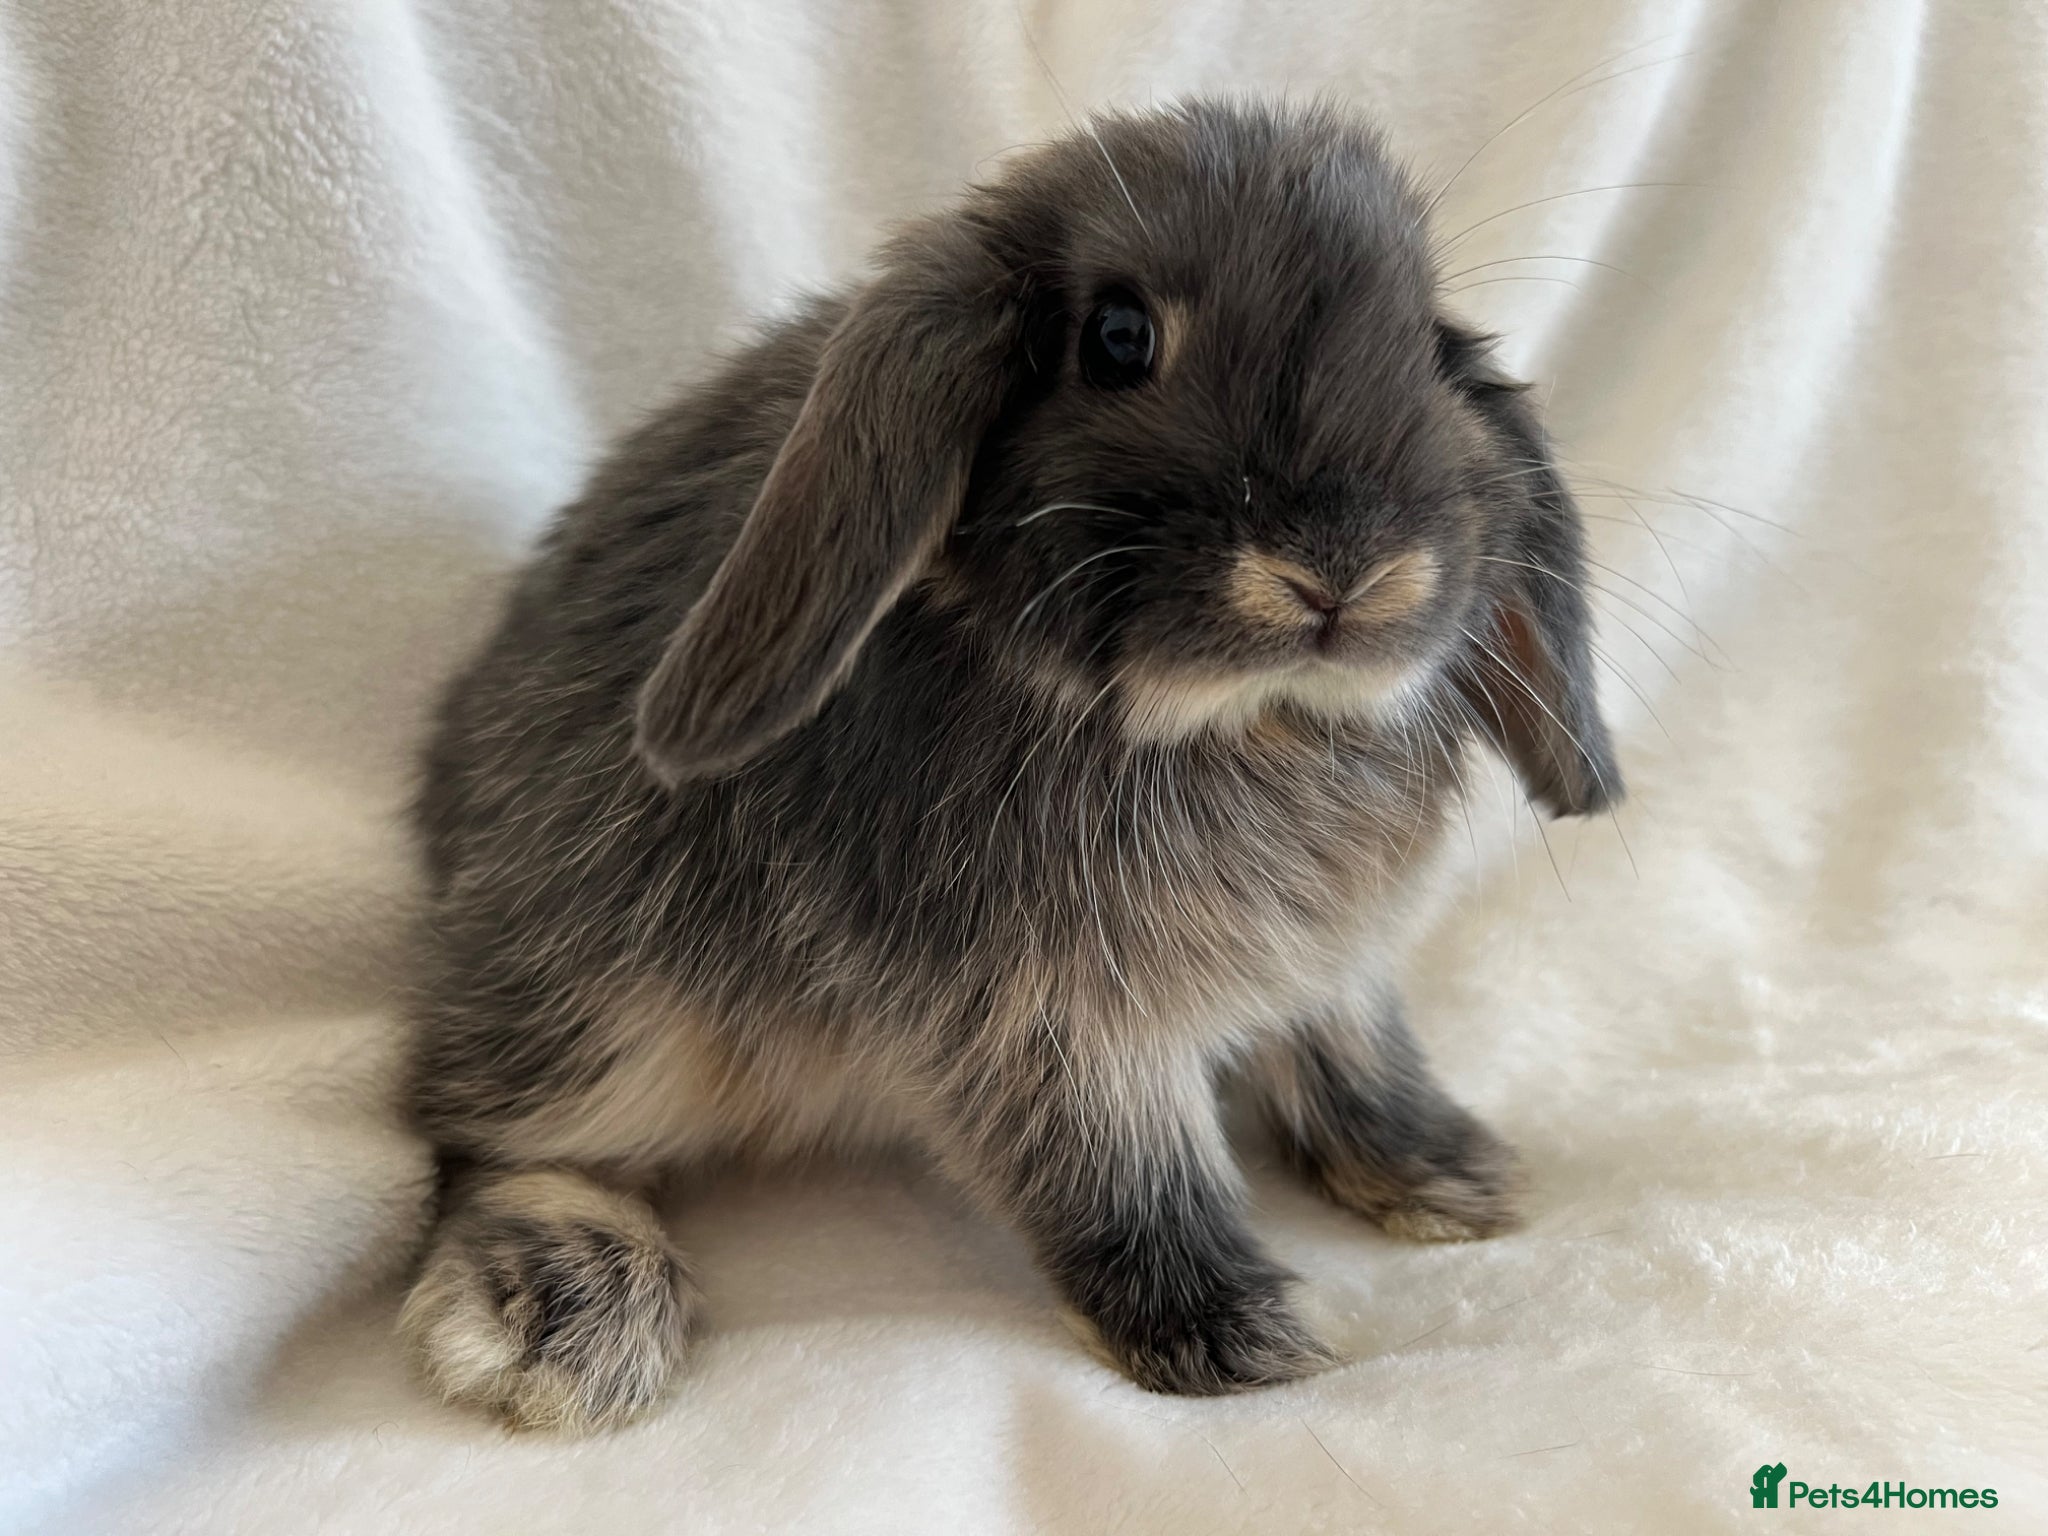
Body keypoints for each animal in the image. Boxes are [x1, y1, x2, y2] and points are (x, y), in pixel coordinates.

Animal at [398, 97, 1621, 1433]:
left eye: (1423, 337)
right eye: (1118, 338)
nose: (1344, 571)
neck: (1238, 723)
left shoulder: (1326, 966)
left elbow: (1354, 1052)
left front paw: (1445, 1174)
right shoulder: (1037, 1021)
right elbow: (1122, 1169)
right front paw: (1234, 1334)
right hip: (604, 999)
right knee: (467, 1133)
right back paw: (565, 1308)